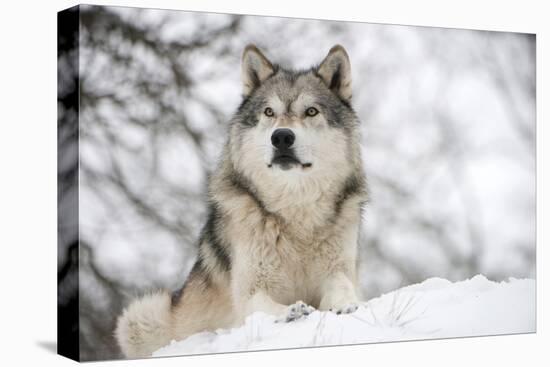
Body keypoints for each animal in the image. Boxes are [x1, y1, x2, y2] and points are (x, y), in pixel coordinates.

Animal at [114, 43, 368, 360]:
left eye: (311, 111)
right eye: (269, 112)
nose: (281, 137)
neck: (294, 214)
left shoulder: (339, 270)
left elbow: (342, 287)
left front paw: (344, 304)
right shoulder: (249, 291)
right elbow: (263, 305)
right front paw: (292, 312)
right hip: (141, 315)